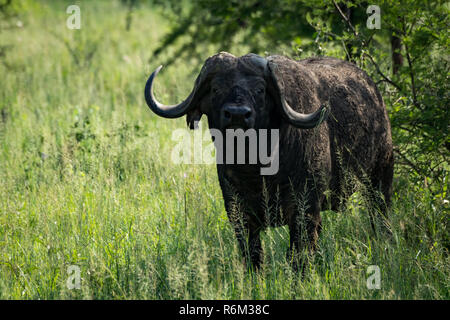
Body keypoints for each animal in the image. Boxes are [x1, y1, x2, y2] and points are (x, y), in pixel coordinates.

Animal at [145, 52, 394, 270]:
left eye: (260, 89)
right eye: (216, 88)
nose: (237, 114)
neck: (257, 170)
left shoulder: (305, 210)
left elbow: (298, 256)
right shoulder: (238, 213)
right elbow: (253, 255)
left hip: (380, 179)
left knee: (380, 216)